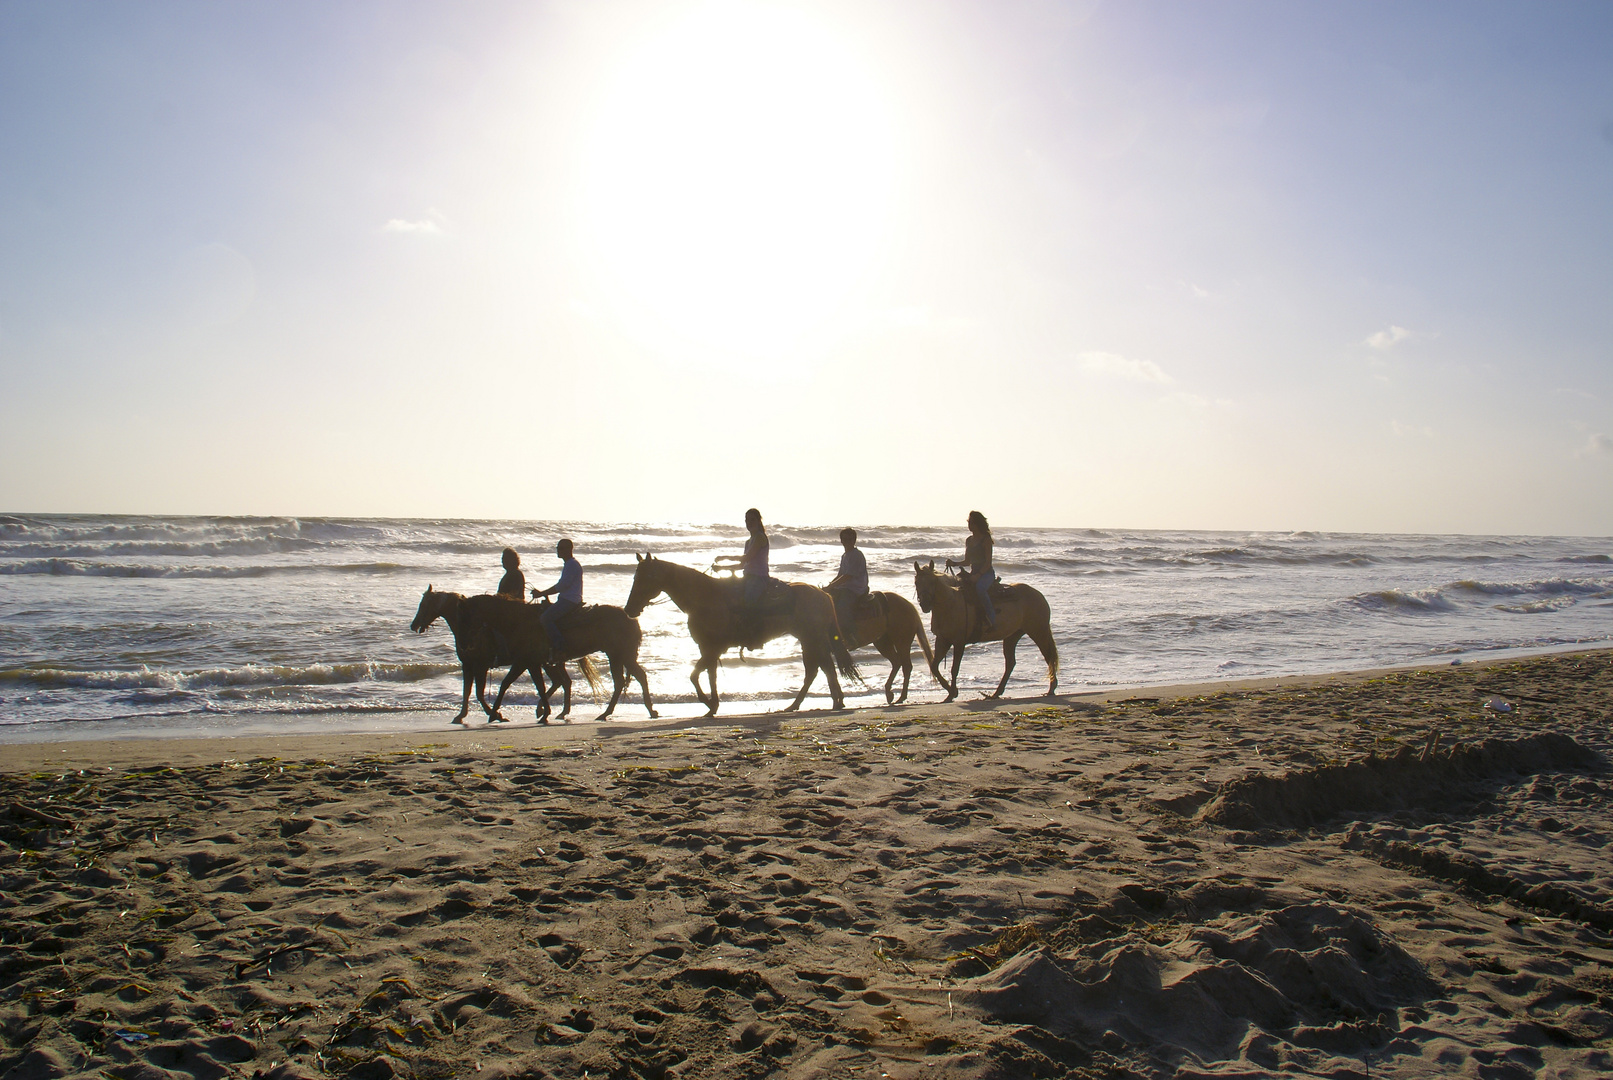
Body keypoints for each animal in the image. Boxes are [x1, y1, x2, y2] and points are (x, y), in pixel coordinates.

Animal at [622, 557, 864, 718]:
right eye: (635, 576)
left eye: (644, 577)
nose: (629, 609)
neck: (704, 597)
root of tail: (823, 594)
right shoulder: (708, 649)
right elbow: (709, 676)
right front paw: (713, 706)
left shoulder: (712, 649)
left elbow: (694, 675)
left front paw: (708, 704)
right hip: (809, 639)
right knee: (821, 669)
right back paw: (819, 703)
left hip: (812, 638)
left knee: (820, 669)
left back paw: (822, 703)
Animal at [916, 564, 1051, 706]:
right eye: (916, 582)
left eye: (932, 581)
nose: (925, 604)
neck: (950, 603)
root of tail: (1038, 594)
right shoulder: (943, 640)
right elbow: (934, 666)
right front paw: (951, 693)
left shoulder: (959, 642)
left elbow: (954, 669)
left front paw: (952, 693)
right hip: (1012, 636)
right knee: (1010, 663)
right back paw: (995, 694)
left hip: (1038, 631)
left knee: (1049, 656)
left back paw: (1051, 690)